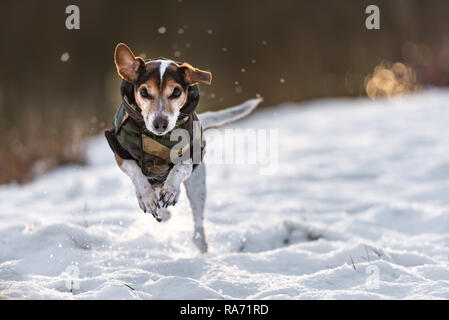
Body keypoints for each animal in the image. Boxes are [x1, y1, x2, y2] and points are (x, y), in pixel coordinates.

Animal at [105, 43, 260, 252]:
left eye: (176, 92)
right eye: (144, 92)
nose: (160, 123)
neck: (157, 138)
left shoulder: (193, 154)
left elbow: (180, 167)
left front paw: (171, 189)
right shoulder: (120, 153)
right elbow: (136, 172)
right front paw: (146, 197)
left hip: (197, 185)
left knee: (197, 220)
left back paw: (200, 242)